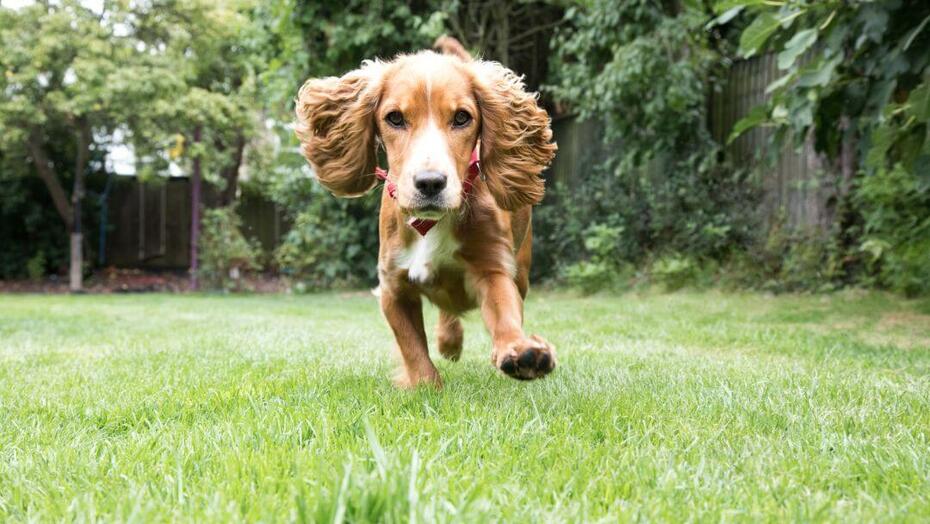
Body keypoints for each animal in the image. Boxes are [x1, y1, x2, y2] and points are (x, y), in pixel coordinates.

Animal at [298, 37, 556, 388]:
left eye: (462, 118)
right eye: (394, 118)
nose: (430, 183)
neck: (431, 225)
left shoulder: (492, 267)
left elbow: (504, 311)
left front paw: (521, 351)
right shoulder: (393, 286)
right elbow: (412, 347)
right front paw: (426, 386)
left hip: (523, 268)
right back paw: (449, 342)